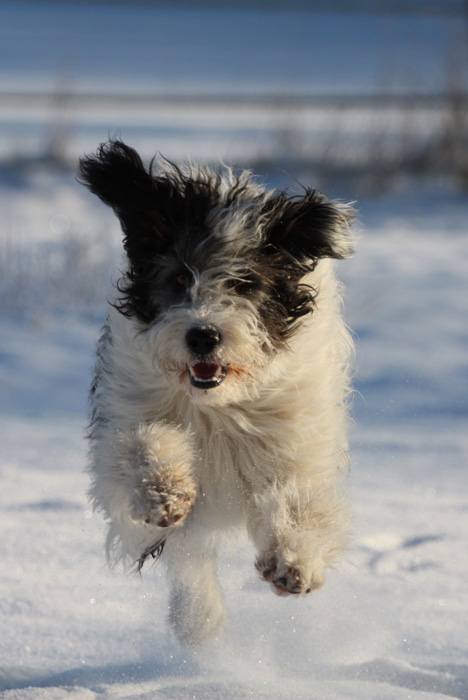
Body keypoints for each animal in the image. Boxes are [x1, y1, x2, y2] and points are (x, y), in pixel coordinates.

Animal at [78, 139, 354, 648]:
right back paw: (199, 622)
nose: (203, 336)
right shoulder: (126, 417)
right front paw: (164, 492)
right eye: (178, 279)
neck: (217, 406)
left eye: (246, 284)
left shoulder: (293, 438)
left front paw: (293, 562)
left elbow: (300, 501)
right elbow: (140, 447)